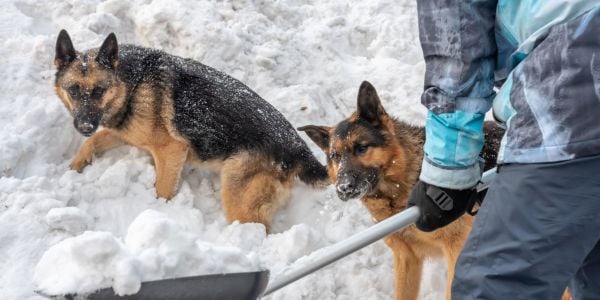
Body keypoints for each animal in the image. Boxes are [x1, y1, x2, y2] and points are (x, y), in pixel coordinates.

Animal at [54, 29, 328, 232]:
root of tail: (298, 148)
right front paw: (74, 167)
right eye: (73, 90)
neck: (131, 85)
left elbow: (162, 190)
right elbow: (91, 142)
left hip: (237, 196)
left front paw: (160, 213)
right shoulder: (125, 132)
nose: (85, 125)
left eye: (99, 90)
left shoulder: (171, 150)